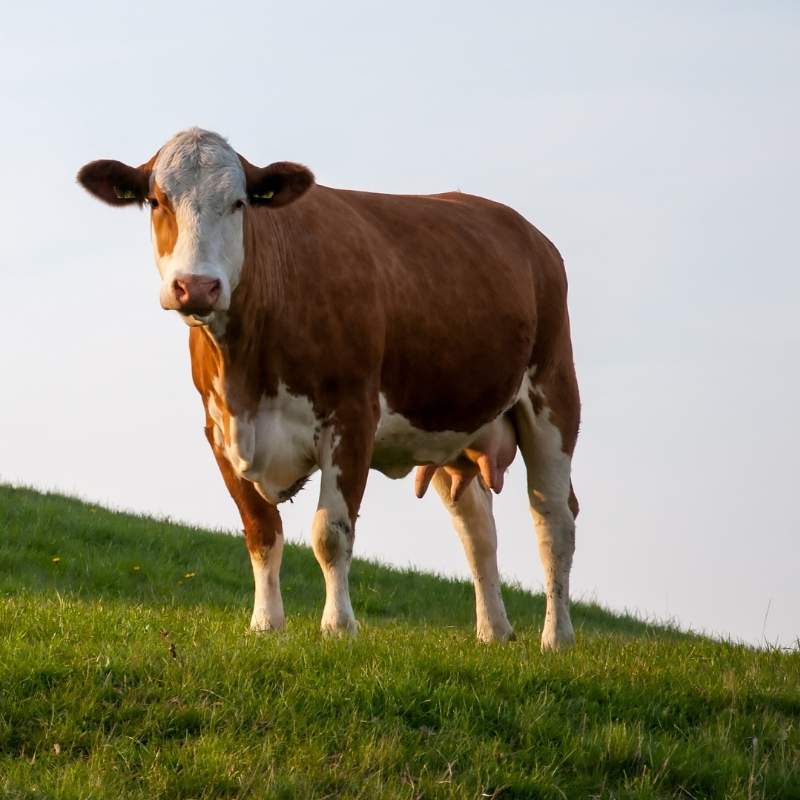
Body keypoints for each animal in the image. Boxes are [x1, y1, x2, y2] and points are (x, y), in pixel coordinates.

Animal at [77, 128, 580, 651]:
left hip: (553, 393)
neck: (246, 374)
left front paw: (338, 626)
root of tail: (530, 234)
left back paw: (557, 637)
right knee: (478, 529)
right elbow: (261, 531)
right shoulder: (218, 430)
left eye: (239, 203)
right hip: (449, 427)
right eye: (157, 201)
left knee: (554, 518)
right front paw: (265, 623)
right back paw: (494, 631)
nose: (196, 287)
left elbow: (330, 533)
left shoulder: (352, 416)